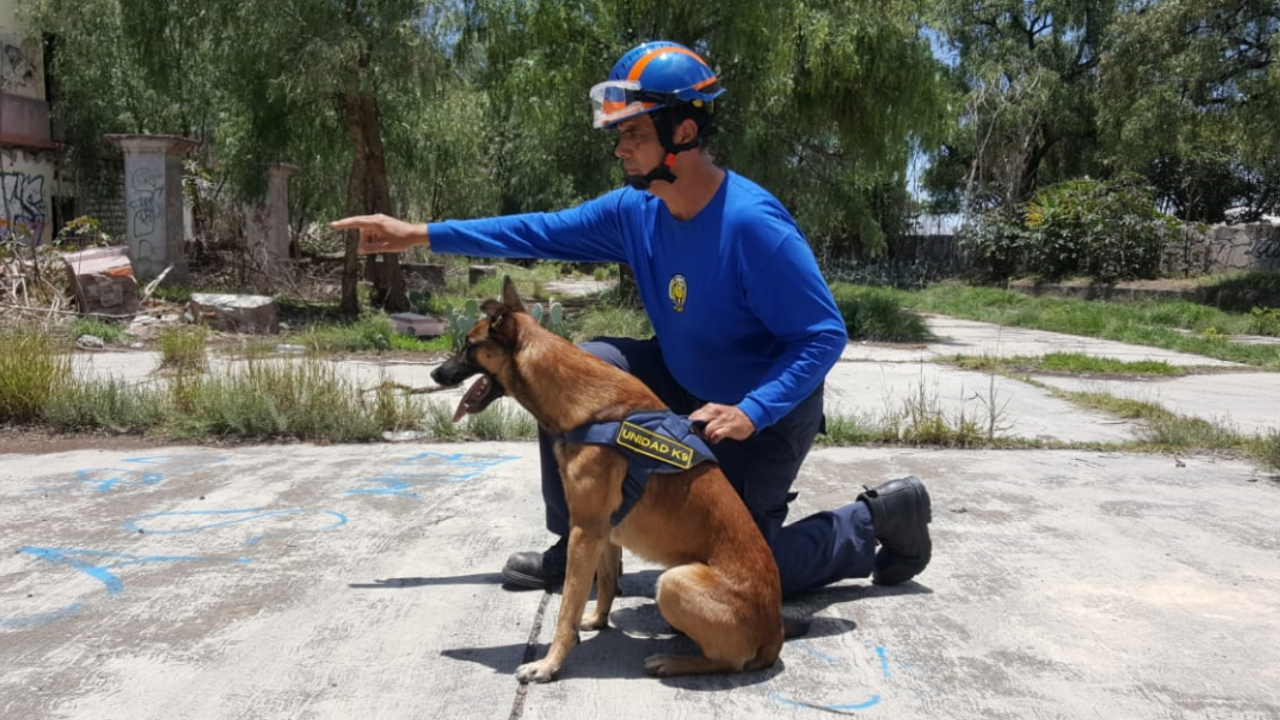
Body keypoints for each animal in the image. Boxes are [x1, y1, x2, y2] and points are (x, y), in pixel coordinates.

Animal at [430, 278, 783, 681]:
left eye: (468, 345)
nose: (434, 375)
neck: (587, 408)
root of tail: (775, 632)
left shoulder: (584, 531)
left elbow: (566, 608)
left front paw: (549, 664)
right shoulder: (604, 533)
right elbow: (608, 583)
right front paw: (598, 621)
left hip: (674, 582)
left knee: (728, 661)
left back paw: (673, 662)